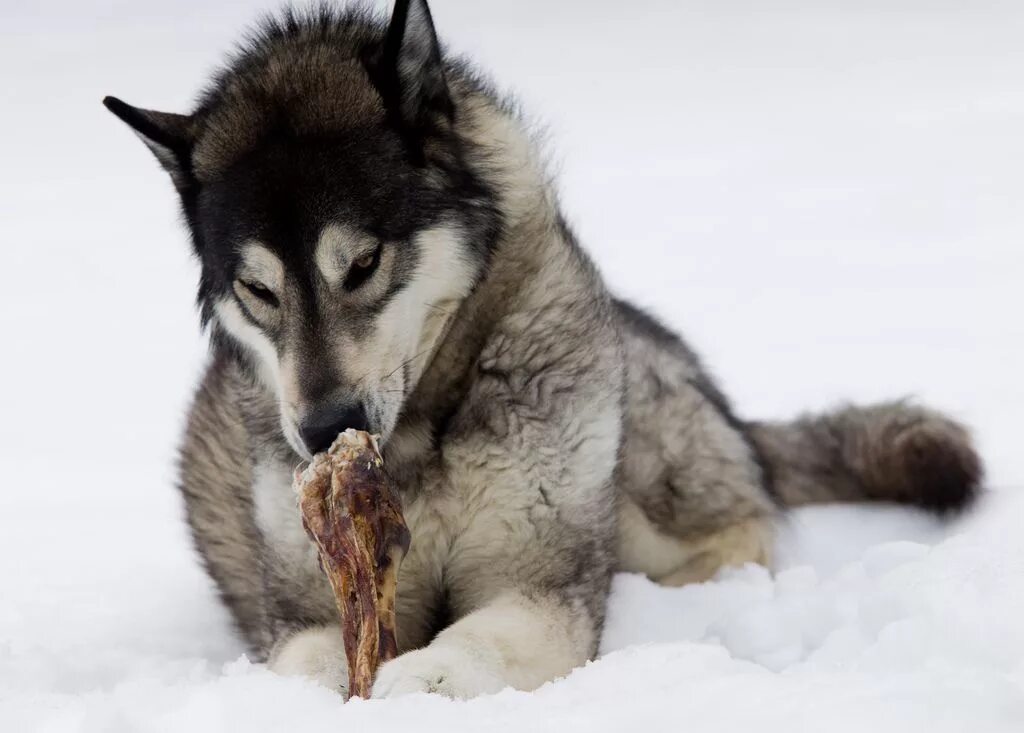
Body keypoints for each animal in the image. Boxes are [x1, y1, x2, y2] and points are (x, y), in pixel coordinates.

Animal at [105, 0, 983, 700]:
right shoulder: (313, 603)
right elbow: (311, 660)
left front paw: (418, 685)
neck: (418, 439)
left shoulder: (537, 581)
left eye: (362, 263)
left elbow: (476, 641)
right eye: (259, 290)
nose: (323, 431)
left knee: (740, 525)